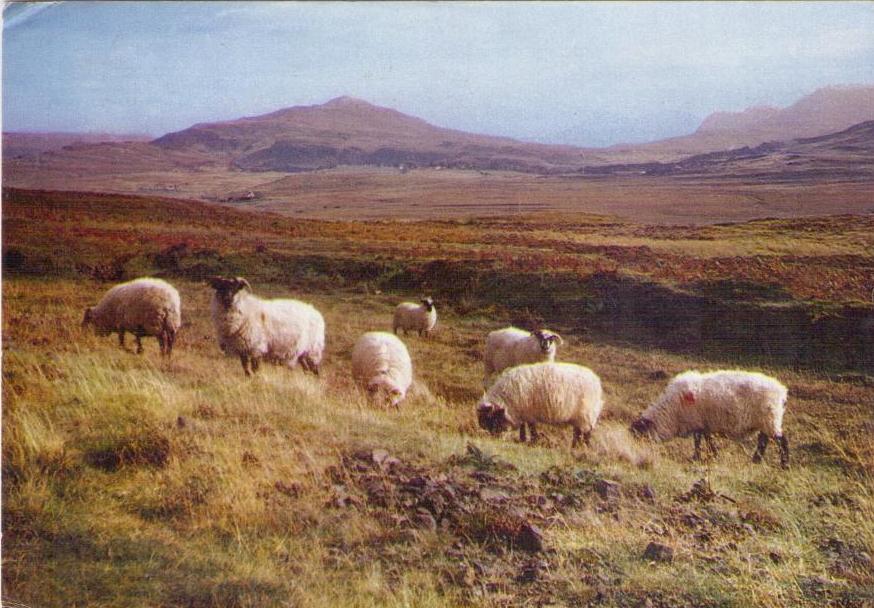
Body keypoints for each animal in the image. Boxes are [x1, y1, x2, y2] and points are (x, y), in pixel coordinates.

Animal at [474, 360, 604, 452]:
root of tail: (596, 382)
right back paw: (574, 447)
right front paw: (523, 439)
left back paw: (585, 448)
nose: (496, 439)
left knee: (587, 432)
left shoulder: (528, 412)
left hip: (587, 414)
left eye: (492, 419)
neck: (506, 399)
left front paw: (533, 440)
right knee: (577, 432)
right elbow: (524, 426)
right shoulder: (523, 412)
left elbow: (531, 427)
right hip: (578, 416)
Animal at [628, 368, 792, 468]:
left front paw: (696, 457)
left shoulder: (698, 422)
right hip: (766, 421)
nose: (636, 454)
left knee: (781, 441)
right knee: (763, 441)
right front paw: (712, 455)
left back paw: (784, 465)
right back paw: (756, 461)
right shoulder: (704, 424)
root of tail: (782, 391)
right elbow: (706, 439)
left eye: (639, 434)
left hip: (770, 419)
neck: (671, 411)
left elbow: (698, 441)